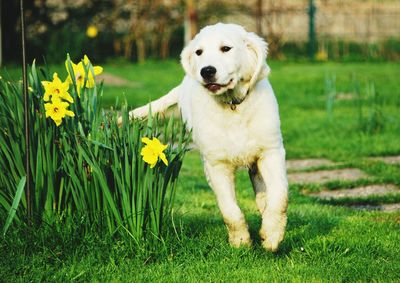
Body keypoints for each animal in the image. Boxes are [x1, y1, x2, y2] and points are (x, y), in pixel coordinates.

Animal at [125, 23, 288, 252]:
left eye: (226, 48)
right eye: (199, 52)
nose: (207, 71)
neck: (233, 105)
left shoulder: (271, 151)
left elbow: (280, 196)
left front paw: (272, 236)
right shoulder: (216, 163)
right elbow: (230, 210)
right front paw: (240, 242)